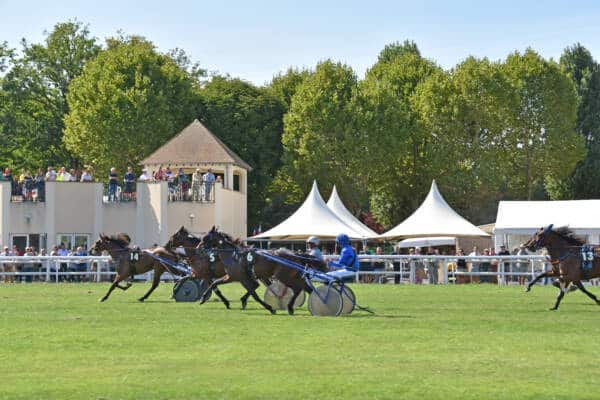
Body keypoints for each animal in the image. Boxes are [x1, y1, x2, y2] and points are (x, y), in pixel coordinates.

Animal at [197, 227, 328, 314]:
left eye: (206, 238)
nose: (199, 248)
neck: (234, 256)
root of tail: (294, 254)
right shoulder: (232, 277)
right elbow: (215, 283)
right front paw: (204, 298)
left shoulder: (240, 278)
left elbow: (254, 293)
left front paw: (270, 308)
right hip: (293, 276)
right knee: (306, 288)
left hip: (283, 276)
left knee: (297, 289)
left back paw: (292, 307)